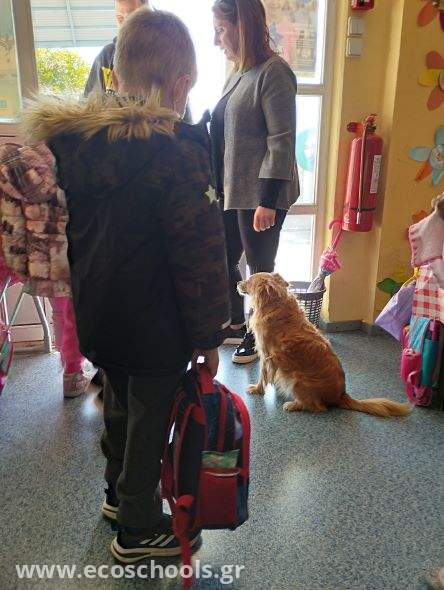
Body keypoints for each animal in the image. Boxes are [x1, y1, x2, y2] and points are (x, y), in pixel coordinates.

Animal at [238, 272, 411, 418]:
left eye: (250, 279)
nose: (238, 282)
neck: (275, 304)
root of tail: (341, 395)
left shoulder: (267, 355)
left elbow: (263, 376)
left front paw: (257, 389)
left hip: (298, 380)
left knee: (318, 407)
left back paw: (293, 405)